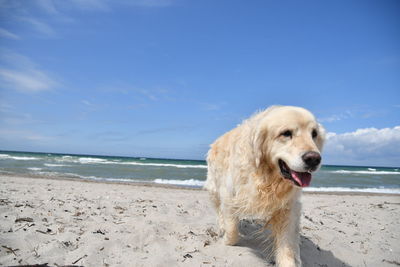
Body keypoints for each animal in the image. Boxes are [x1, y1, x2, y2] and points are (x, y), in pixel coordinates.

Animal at [206, 105, 324, 266]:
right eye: (286, 133)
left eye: (314, 134)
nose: (314, 159)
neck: (267, 177)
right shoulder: (229, 194)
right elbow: (232, 230)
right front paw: (227, 239)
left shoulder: (288, 207)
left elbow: (286, 243)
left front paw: (288, 261)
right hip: (214, 187)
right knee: (218, 209)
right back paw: (221, 227)